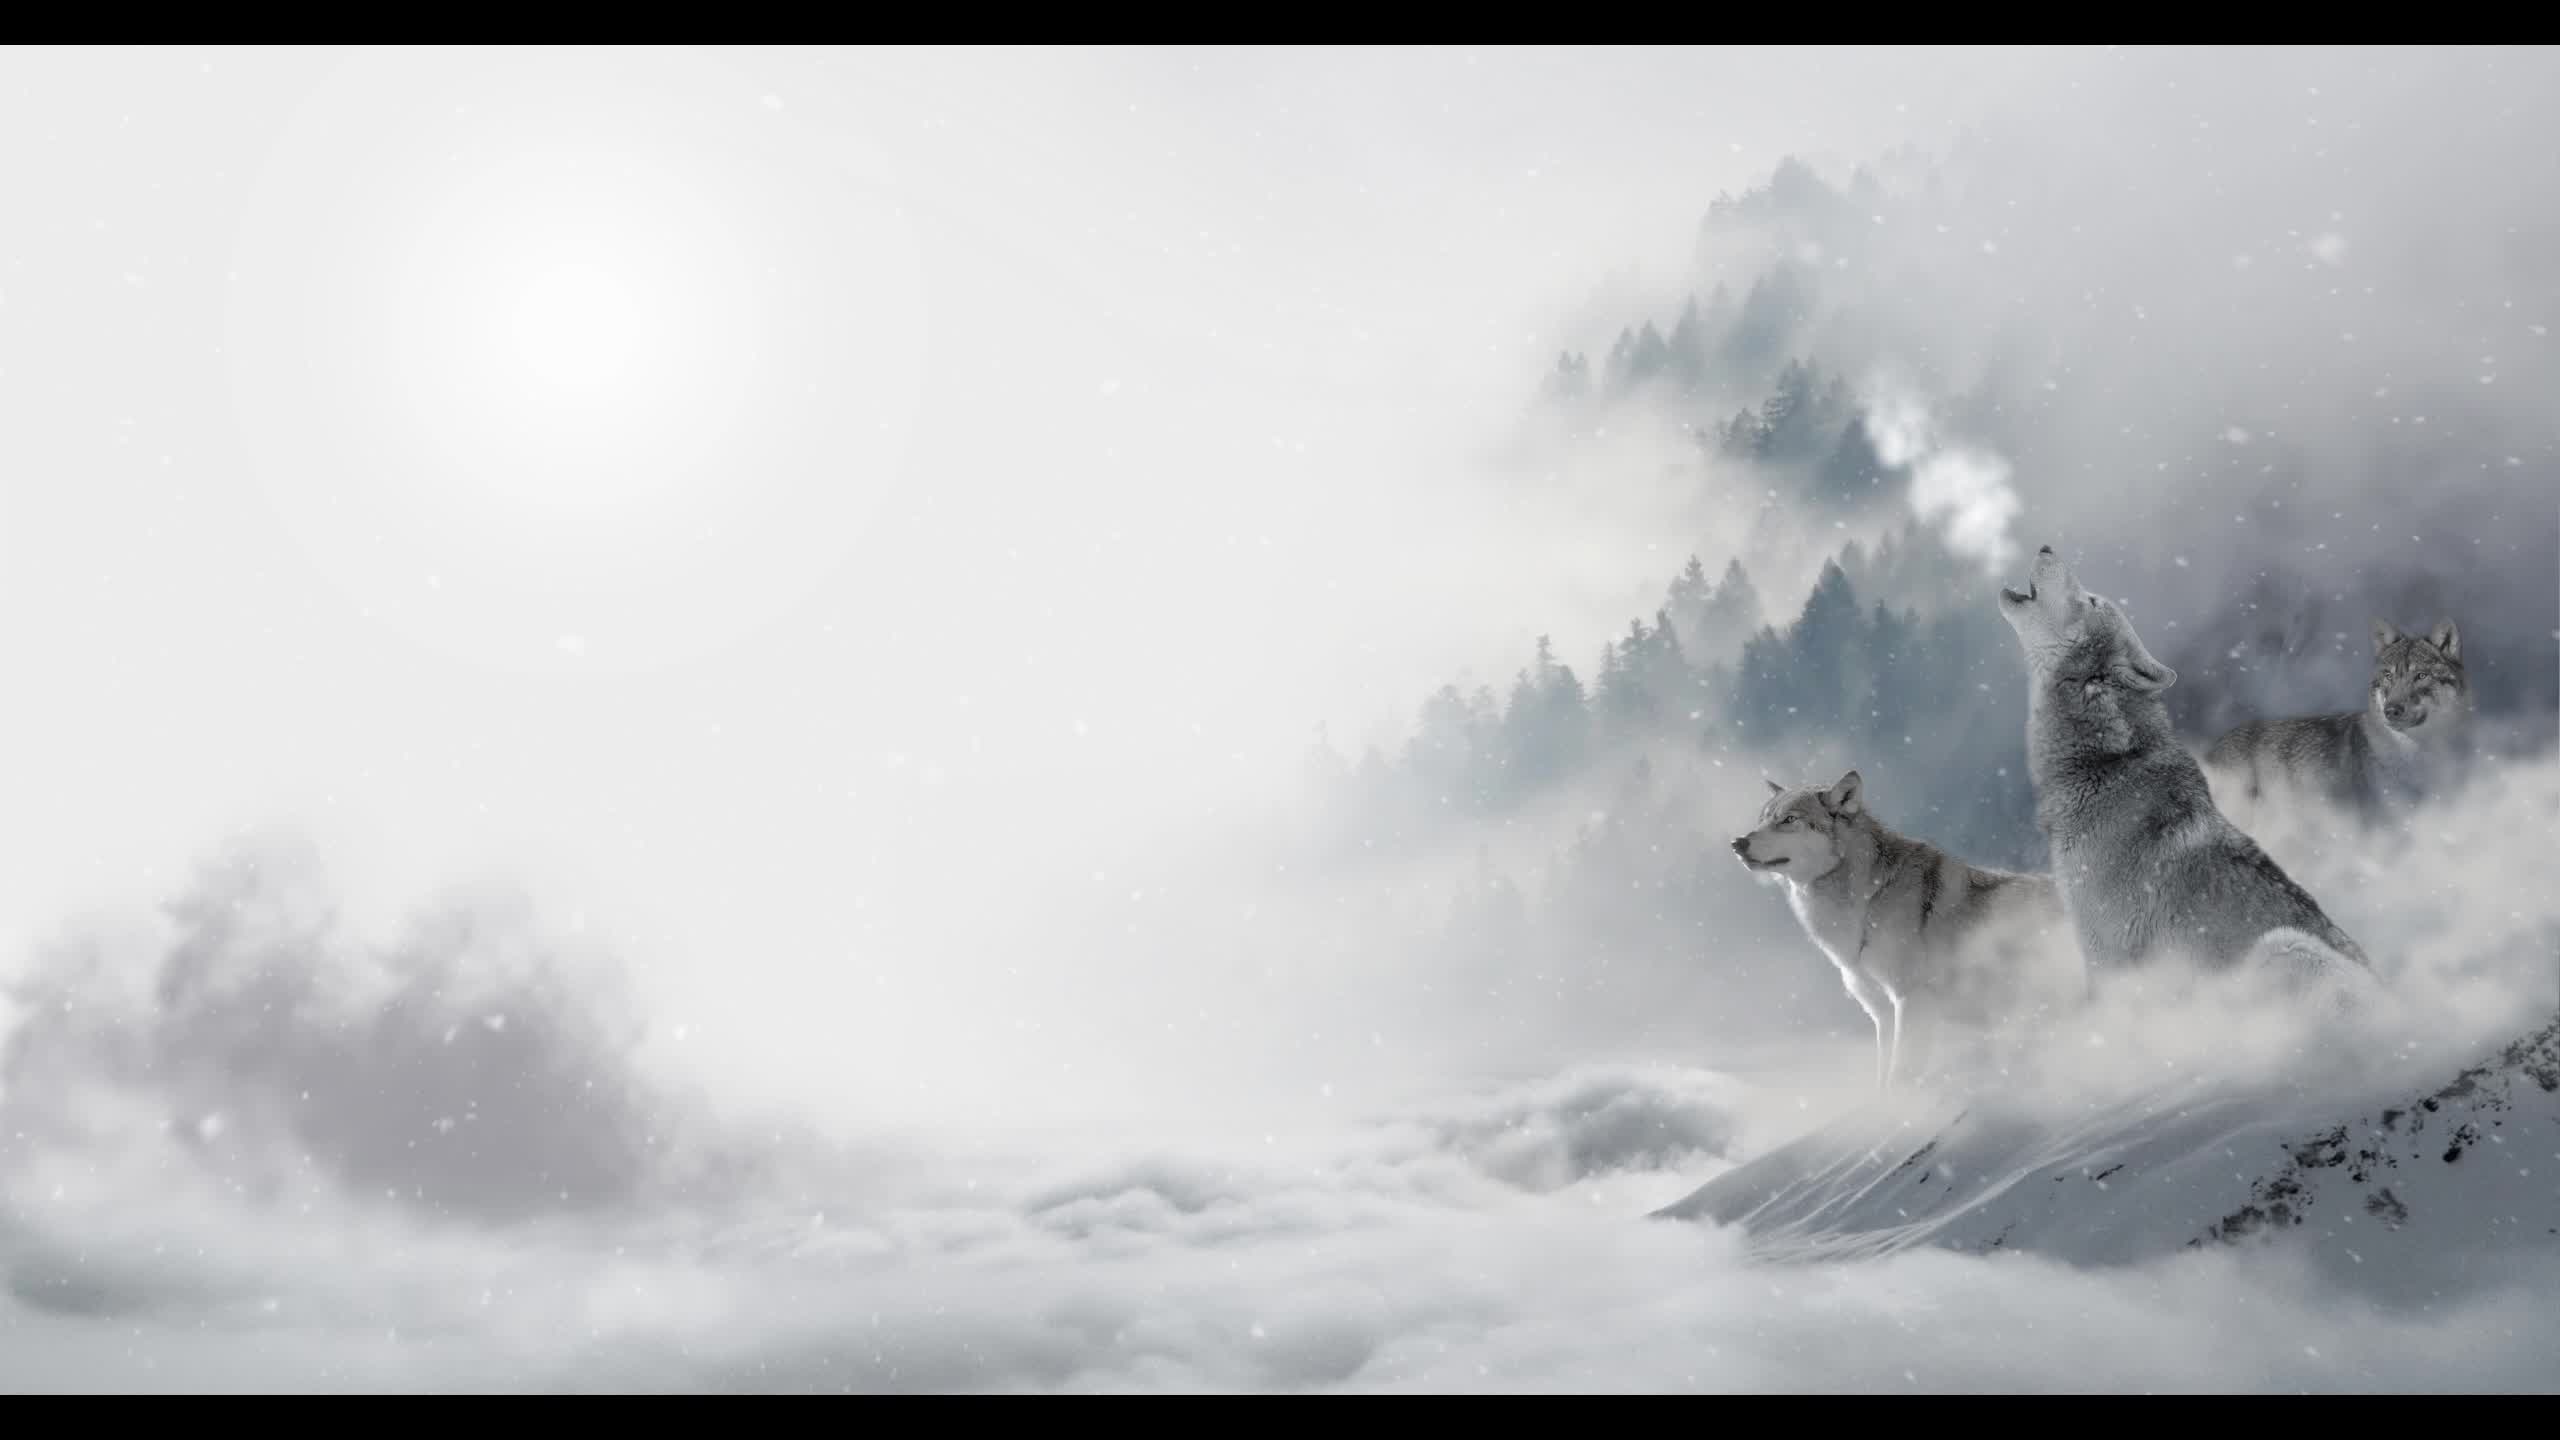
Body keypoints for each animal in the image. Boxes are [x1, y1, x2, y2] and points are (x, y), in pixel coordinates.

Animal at [1731, 770, 2083, 1092]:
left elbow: (1901, 1076)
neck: (1867, 901)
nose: (1738, 843)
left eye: (1789, 819)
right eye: (1762, 820)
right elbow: (1882, 1079)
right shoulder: (1883, 1015)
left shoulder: (1910, 1001)